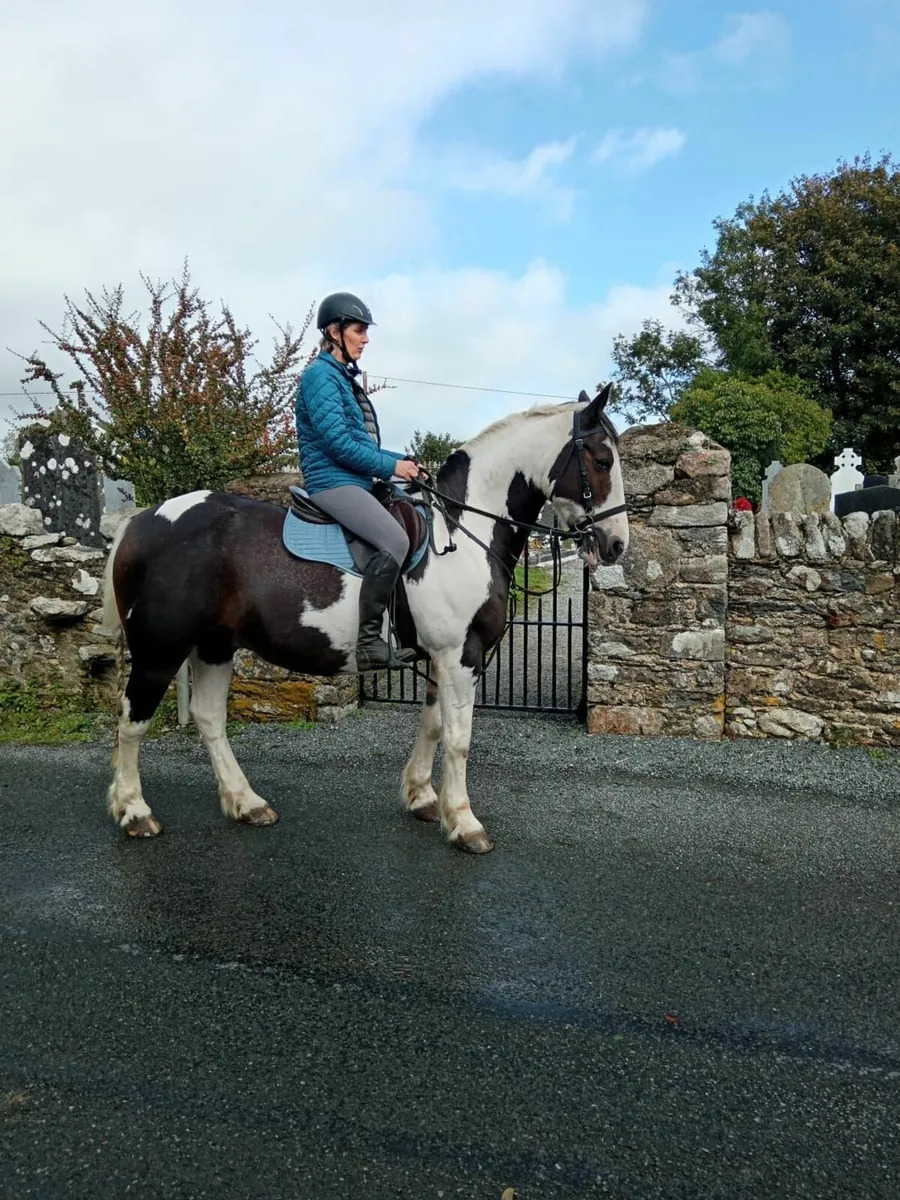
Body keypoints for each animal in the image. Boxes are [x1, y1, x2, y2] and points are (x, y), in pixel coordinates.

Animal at [102, 384, 629, 854]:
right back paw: (134, 812)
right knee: (132, 720)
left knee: (210, 718)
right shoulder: (460, 656)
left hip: (214, 645)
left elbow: (432, 726)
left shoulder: (440, 658)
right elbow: (459, 739)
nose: (616, 545)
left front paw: (422, 798)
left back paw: (245, 802)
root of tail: (144, 519)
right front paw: (463, 823)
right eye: (602, 461)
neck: (462, 531)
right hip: (159, 650)